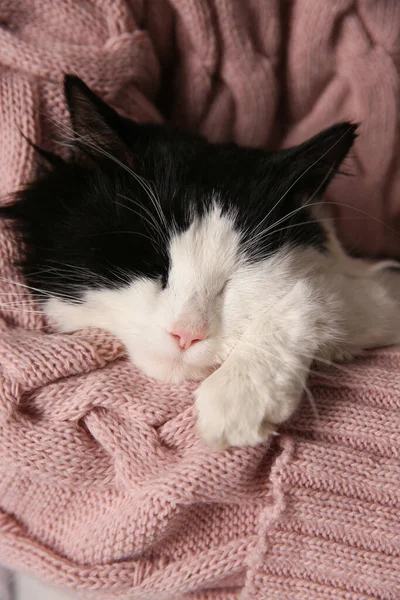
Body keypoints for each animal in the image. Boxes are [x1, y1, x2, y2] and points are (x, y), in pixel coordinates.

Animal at [3, 74, 400, 450]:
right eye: (151, 264)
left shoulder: (376, 290)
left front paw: (239, 394)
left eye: (241, 274)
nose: (186, 334)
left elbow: (316, 291)